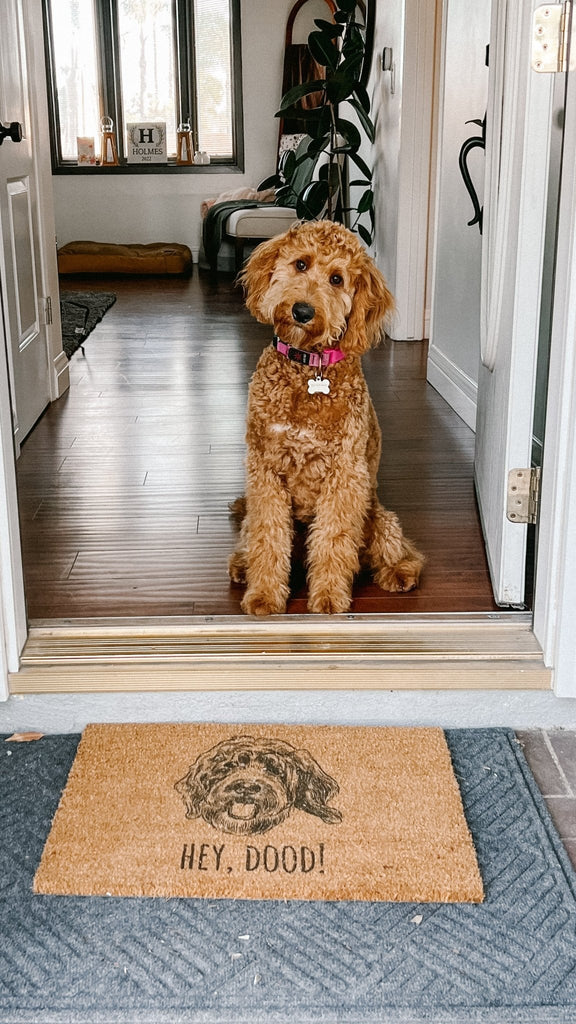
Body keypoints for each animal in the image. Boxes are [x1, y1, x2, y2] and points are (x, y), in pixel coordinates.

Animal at [227, 222, 422, 614]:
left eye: (336, 279)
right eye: (301, 264)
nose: (302, 311)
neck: (309, 368)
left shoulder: (345, 476)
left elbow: (333, 539)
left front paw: (329, 597)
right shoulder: (265, 471)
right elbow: (268, 536)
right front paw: (264, 595)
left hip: (378, 516)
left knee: (396, 548)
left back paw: (400, 571)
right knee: (250, 534)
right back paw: (241, 565)